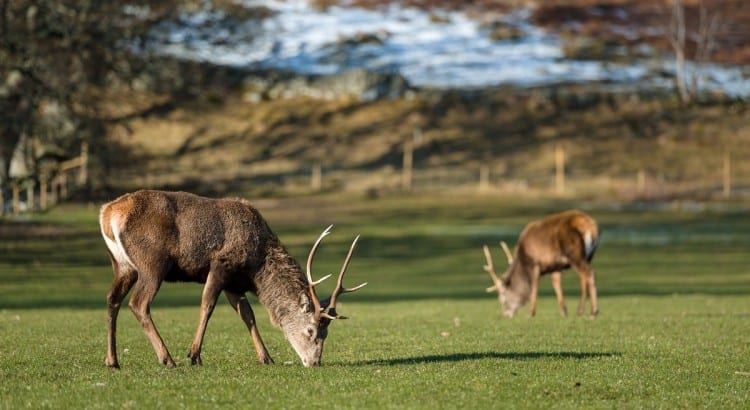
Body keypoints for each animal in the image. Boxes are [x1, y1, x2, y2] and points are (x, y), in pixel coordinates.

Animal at [98, 190, 368, 368]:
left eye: (326, 334)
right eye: (311, 330)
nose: (314, 362)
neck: (256, 268)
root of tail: (108, 213)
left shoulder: (234, 283)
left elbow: (247, 314)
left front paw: (266, 357)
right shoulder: (222, 264)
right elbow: (207, 305)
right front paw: (194, 355)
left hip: (122, 265)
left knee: (112, 299)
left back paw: (112, 361)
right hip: (152, 263)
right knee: (138, 303)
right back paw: (167, 358)